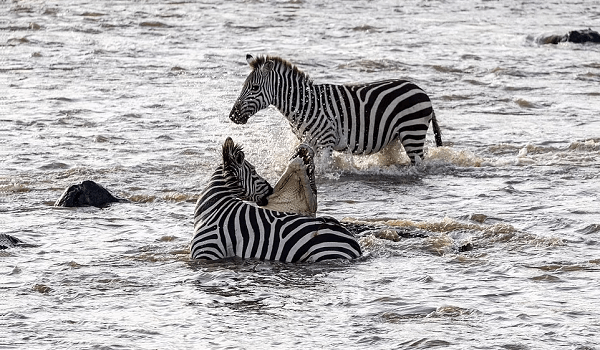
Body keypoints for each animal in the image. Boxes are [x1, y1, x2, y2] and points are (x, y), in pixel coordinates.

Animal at [192, 137, 360, 262]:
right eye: (254, 171)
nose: (270, 190)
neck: (215, 208)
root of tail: (354, 244)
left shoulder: (207, 251)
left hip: (323, 252)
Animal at [229, 53, 440, 165]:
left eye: (254, 88)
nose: (233, 116)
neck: (304, 104)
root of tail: (421, 90)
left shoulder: (325, 142)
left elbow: (324, 168)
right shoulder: (307, 142)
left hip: (412, 132)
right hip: (395, 138)